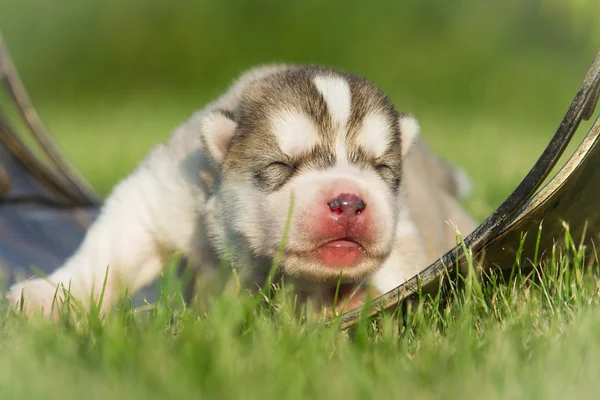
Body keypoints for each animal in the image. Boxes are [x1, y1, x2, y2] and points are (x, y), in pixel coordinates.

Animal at [5, 64, 478, 318]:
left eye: (381, 169)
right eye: (281, 166)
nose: (348, 202)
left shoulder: (405, 232)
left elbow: (400, 269)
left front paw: (351, 303)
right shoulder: (169, 194)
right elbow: (113, 248)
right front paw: (45, 299)